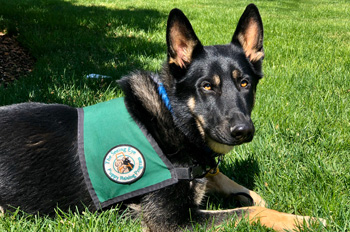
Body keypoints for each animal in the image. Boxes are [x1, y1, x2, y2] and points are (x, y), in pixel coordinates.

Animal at [0, 4, 326, 232]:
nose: (243, 131)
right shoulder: (172, 221)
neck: (173, 119)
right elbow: (249, 211)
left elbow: (237, 187)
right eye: (207, 86)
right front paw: (303, 220)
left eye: (244, 83)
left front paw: (253, 195)